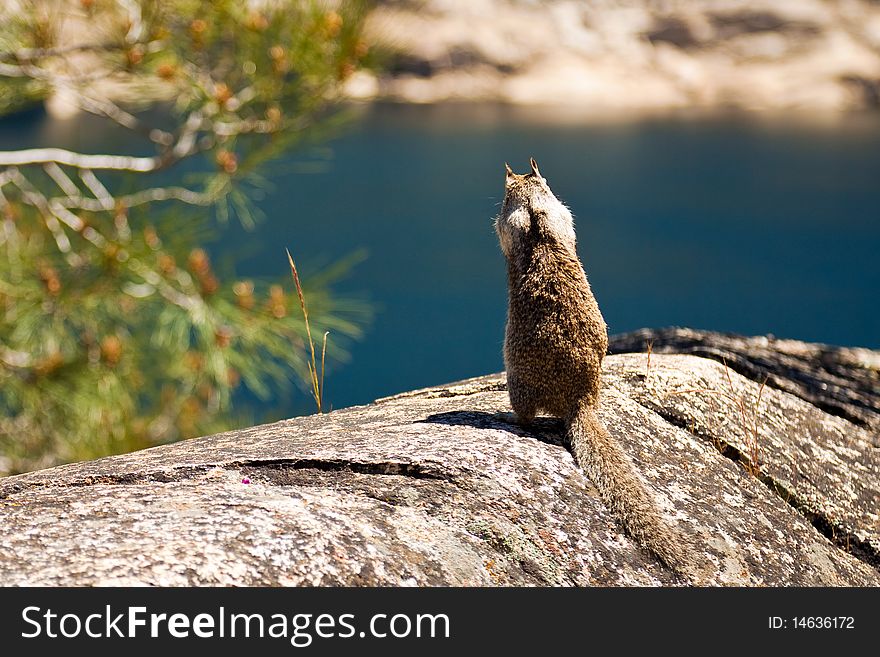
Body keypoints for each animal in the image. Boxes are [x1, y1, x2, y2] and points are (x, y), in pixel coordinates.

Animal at [498, 159, 696, 580]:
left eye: (505, 193)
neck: (535, 205)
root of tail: (582, 402)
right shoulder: (561, 215)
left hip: (516, 381)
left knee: (525, 417)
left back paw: (509, 416)